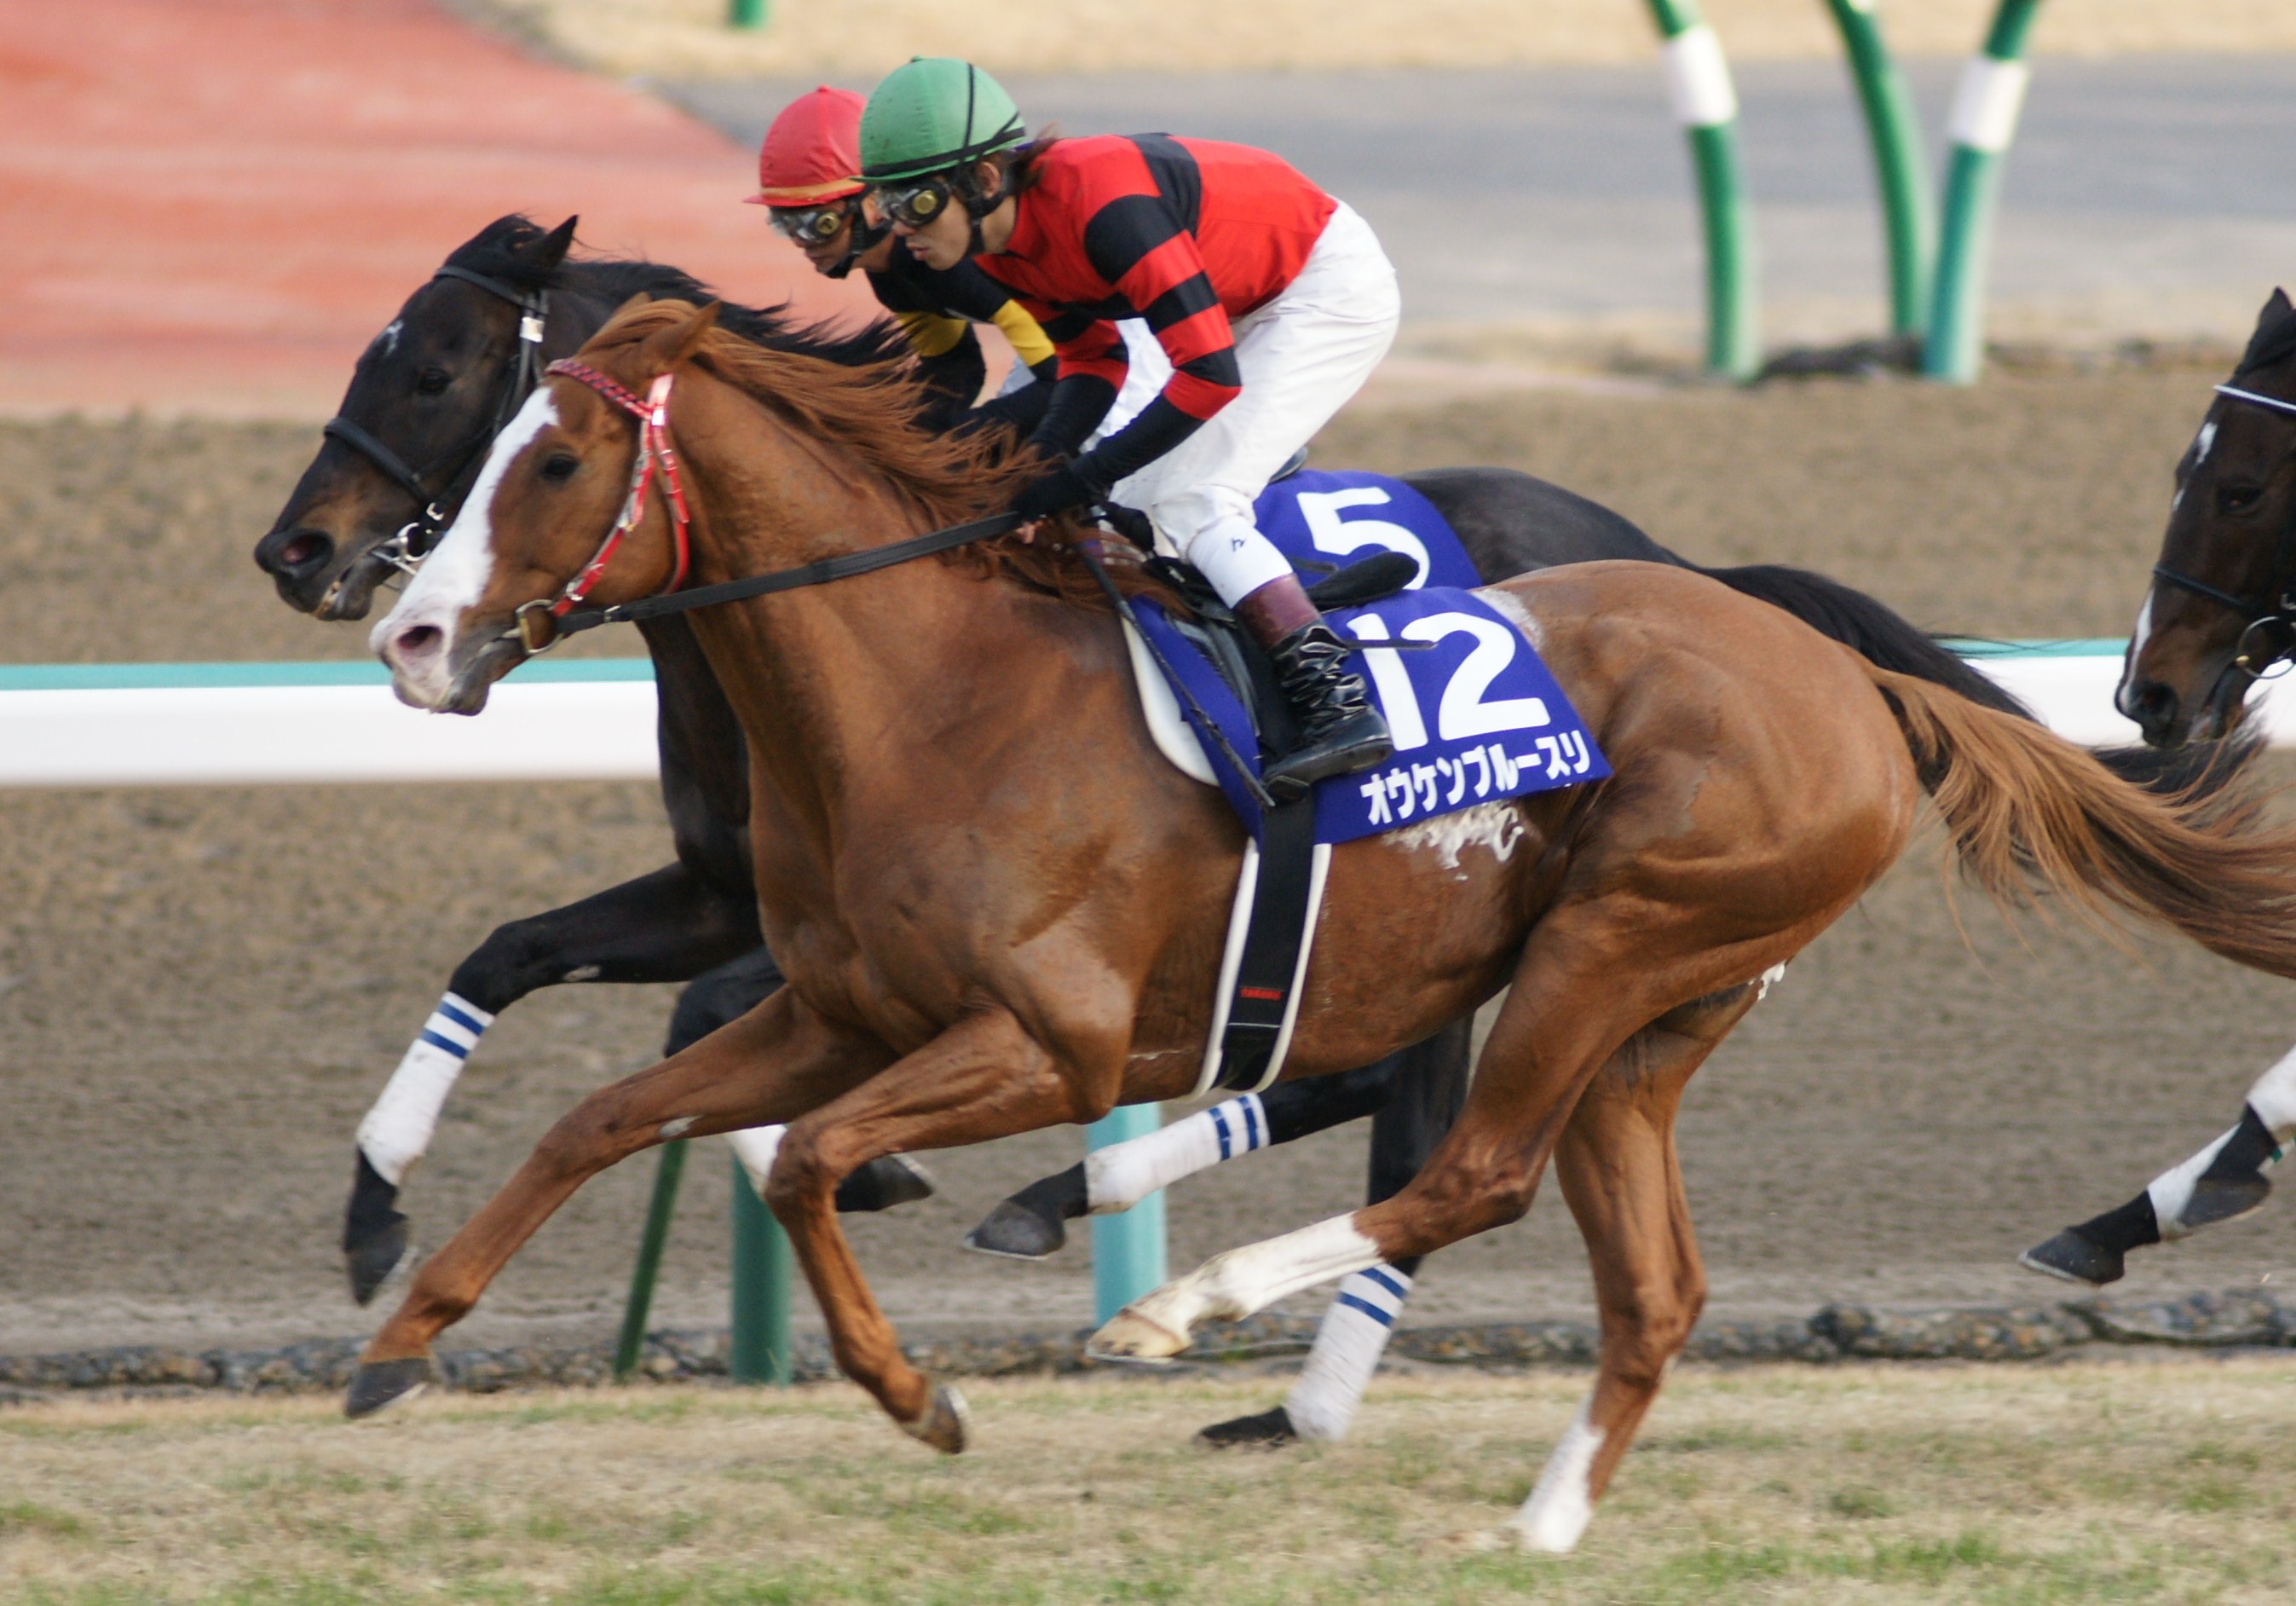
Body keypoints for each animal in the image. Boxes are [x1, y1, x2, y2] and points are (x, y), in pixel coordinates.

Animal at [355, 298, 2296, 1548]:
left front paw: (917, 1393)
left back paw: (1181, 1290)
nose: (407, 636)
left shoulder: (1040, 1041)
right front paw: (397, 1334)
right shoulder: (838, 1006)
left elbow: (809, 1161)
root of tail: (1828, 666)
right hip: (1650, 1017)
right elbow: (604, 1114)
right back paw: (1536, 1524)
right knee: (1643, 1278)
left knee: (1467, 1167)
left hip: (1607, 943)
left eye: (553, 457)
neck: (935, 693)